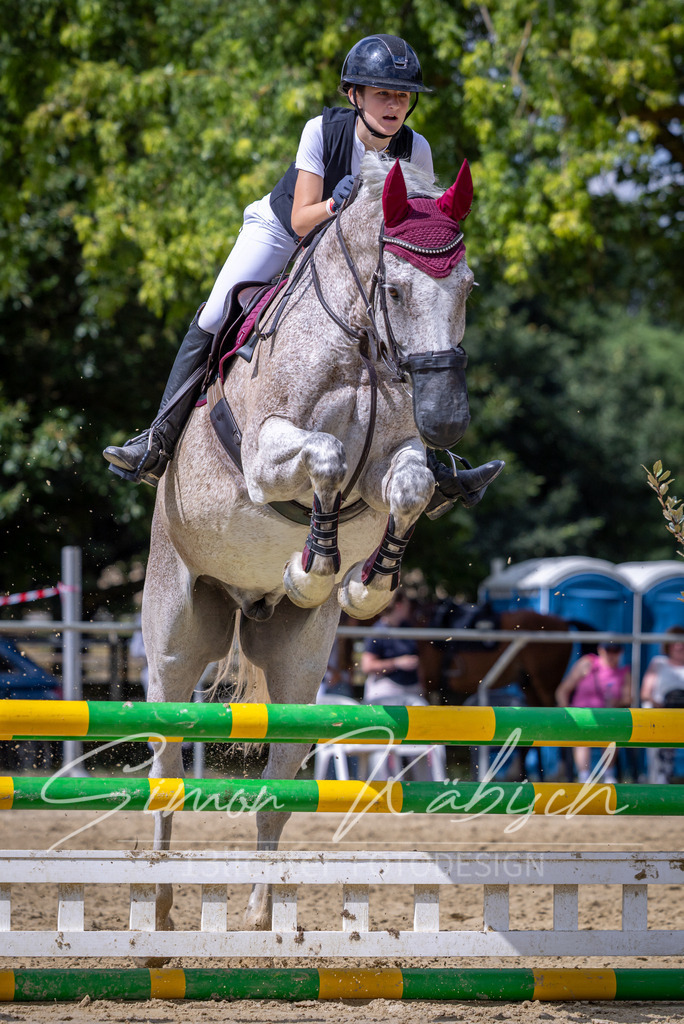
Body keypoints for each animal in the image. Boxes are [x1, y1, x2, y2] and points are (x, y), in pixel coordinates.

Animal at [141, 153, 476, 942]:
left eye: (468, 288)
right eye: (395, 287)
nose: (447, 420)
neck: (360, 351)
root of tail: (240, 603)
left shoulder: (398, 464)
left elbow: (412, 484)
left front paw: (358, 583)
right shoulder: (265, 458)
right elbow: (324, 456)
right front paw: (317, 563)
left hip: (298, 673)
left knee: (276, 789)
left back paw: (263, 916)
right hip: (172, 646)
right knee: (166, 770)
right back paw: (160, 907)